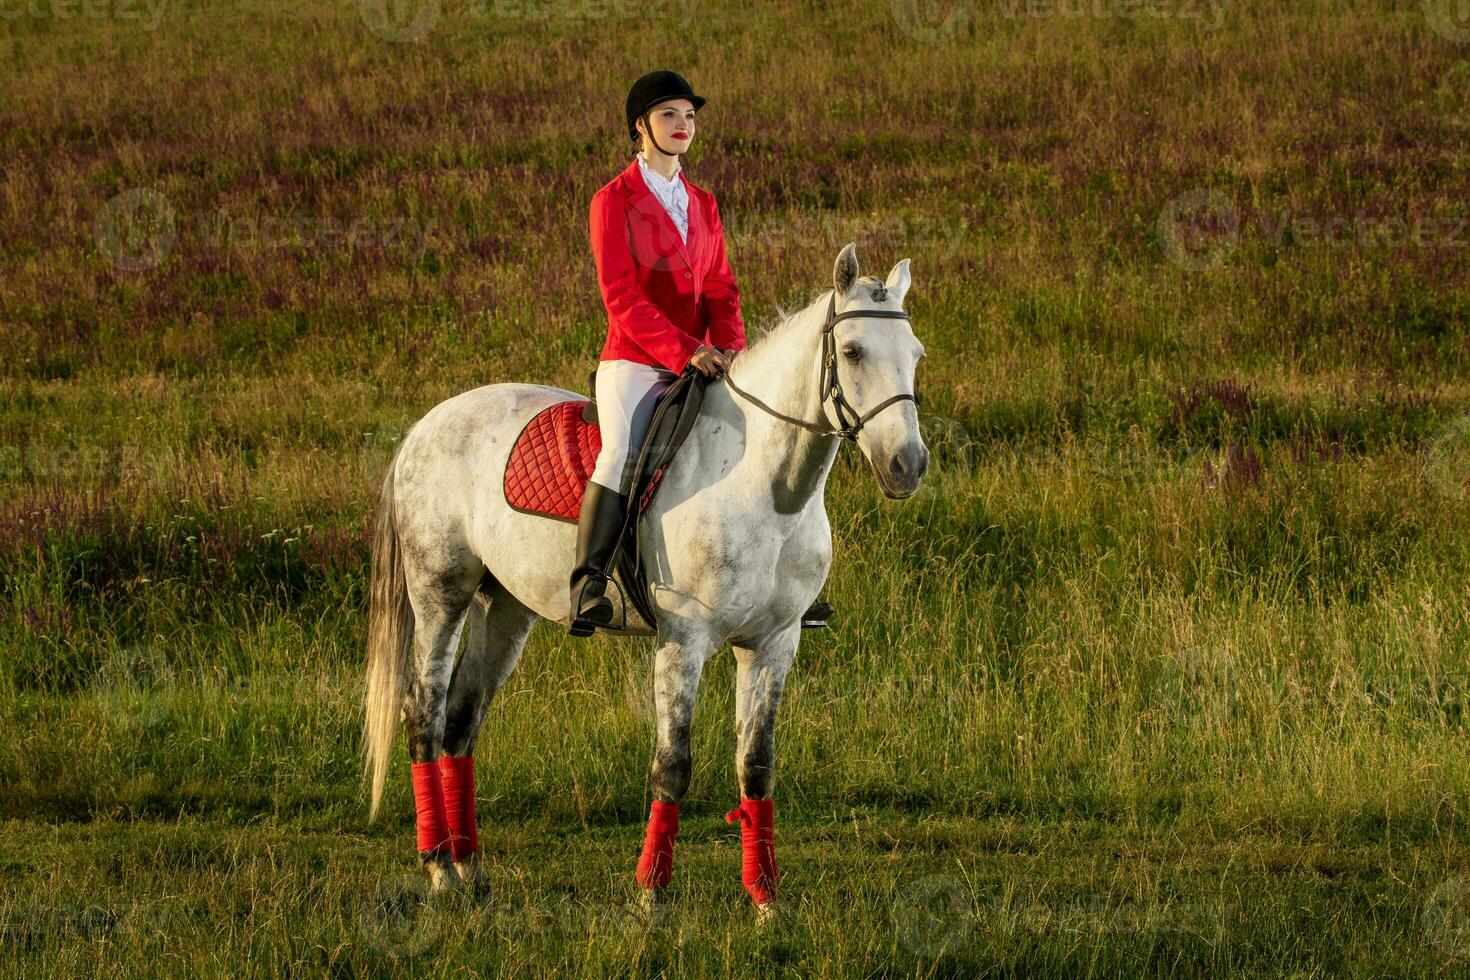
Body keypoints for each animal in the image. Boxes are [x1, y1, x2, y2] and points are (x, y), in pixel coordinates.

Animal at [360, 243, 923, 922]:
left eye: (916, 354)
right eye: (854, 352)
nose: (908, 465)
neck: (770, 490)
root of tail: (425, 426)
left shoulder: (774, 644)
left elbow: (756, 767)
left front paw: (766, 900)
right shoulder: (684, 640)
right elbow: (672, 765)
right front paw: (652, 897)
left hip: (505, 609)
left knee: (463, 719)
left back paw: (470, 868)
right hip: (440, 594)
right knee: (425, 711)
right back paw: (439, 867)